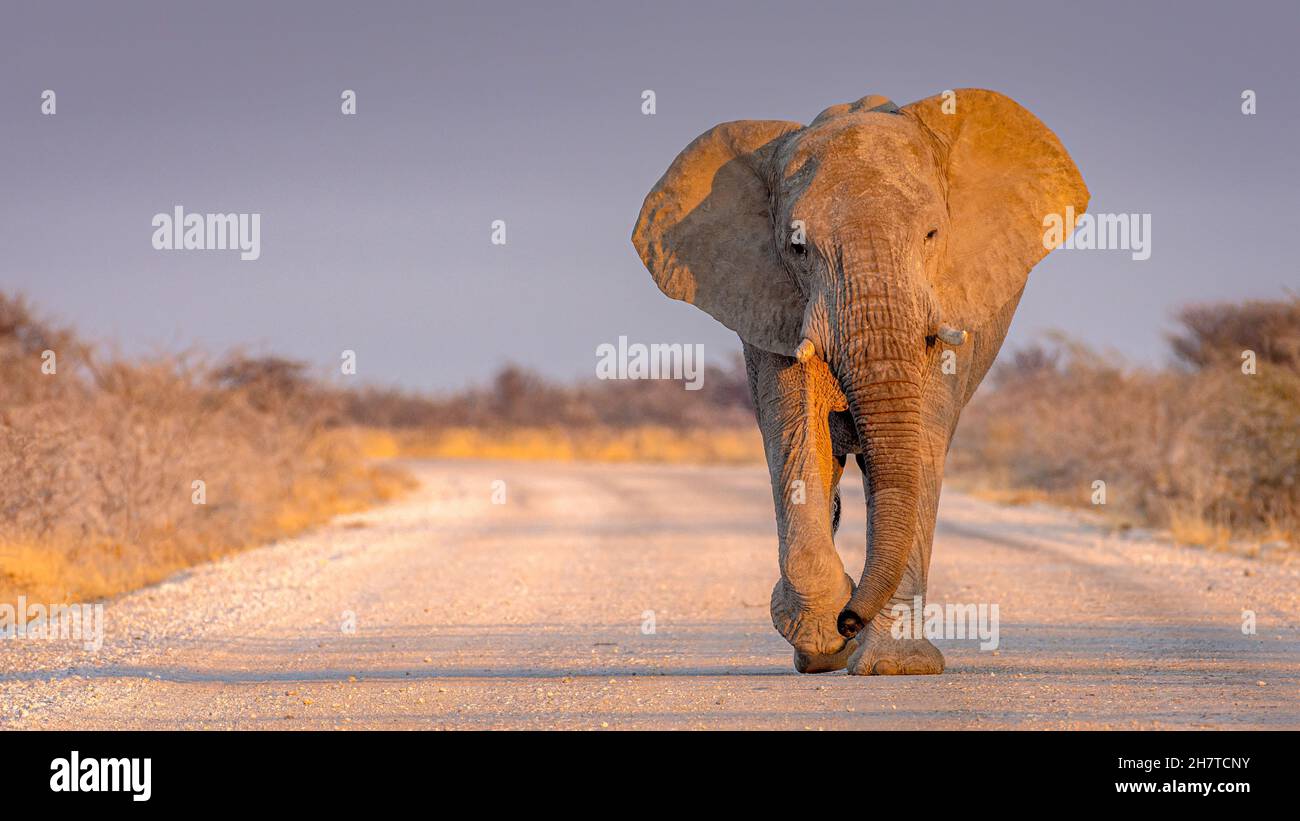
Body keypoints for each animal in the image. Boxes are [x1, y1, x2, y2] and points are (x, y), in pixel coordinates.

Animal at [629, 89, 1086, 675]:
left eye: (933, 235)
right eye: (798, 248)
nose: (851, 619)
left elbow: (919, 446)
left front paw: (896, 667)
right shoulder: (772, 303)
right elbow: (798, 438)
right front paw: (824, 637)